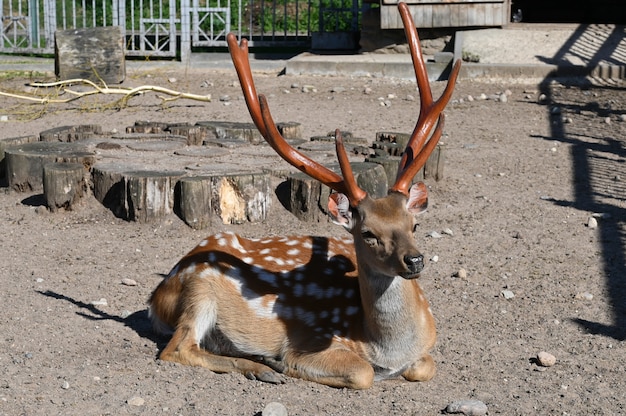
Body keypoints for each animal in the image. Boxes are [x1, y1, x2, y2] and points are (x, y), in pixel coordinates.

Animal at [146, 1, 458, 388]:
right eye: (367, 233)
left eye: (413, 225)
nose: (414, 260)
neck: (386, 350)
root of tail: (156, 296)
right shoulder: (311, 340)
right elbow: (362, 372)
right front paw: (282, 363)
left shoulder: (424, 352)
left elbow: (425, 366)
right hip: (198, 289)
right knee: (176, 348)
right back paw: (263, 367)